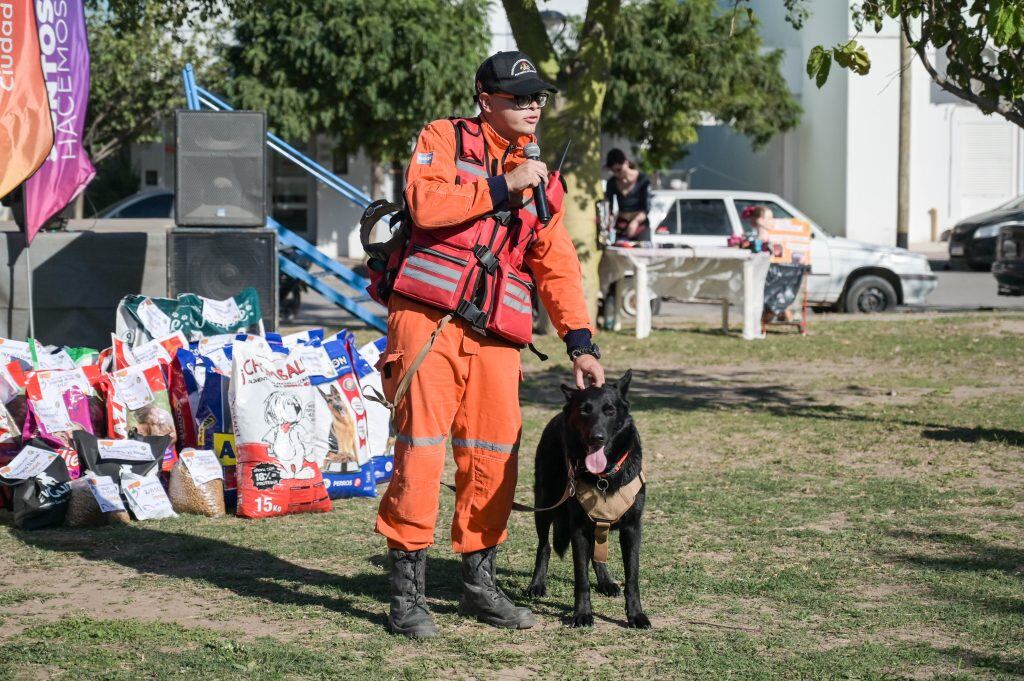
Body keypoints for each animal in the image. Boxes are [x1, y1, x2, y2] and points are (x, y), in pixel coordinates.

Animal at [524, 368, 651, 630]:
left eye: (610, 410)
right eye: (584, 410)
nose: (597, 438)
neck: (604, 476)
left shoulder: (632, 529)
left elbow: (632, 578)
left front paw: (635, 615)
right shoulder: (578, 529)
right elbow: (581, 578)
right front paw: (582, 613)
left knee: (597, 553)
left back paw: (606, 582)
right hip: (544, 504)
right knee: (544, 546)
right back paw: (537, 584)